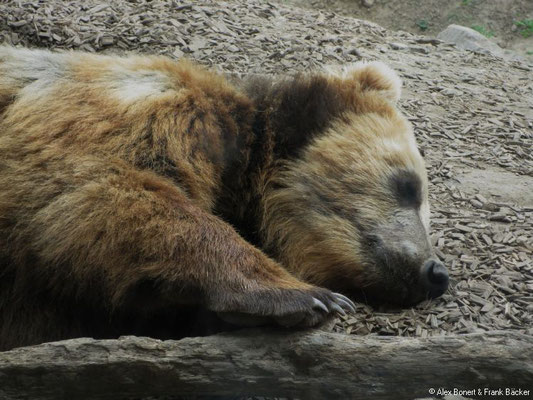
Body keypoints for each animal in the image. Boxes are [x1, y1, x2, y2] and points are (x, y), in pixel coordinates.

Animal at [0, 45, 448, 348]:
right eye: (408, 185)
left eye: (426, 212)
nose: (435, 273)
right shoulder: (127, 107)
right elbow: (89, 178)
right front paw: (308, 298)